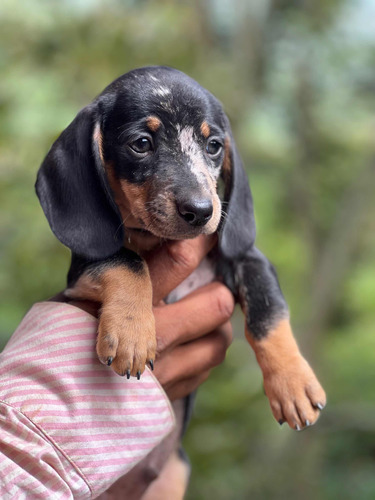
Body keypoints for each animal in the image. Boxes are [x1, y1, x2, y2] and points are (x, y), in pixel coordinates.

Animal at [36, 66, 328, 430]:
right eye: (141, 144)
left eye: (214, 145)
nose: (201, 211)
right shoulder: (80, 272)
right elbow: (126, 260)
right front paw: (132, 331)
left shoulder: (247, 257)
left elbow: (268, 310)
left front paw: (293, 382)